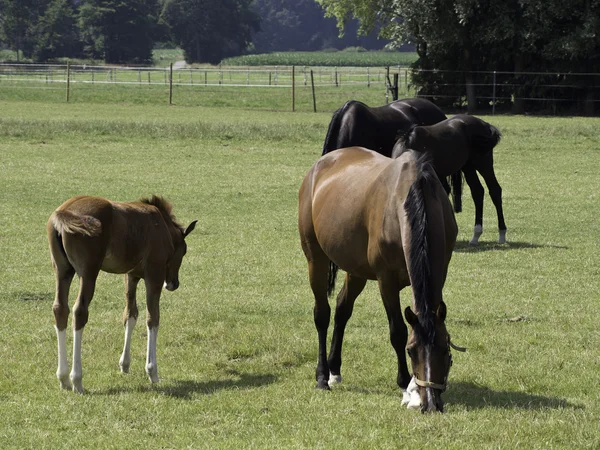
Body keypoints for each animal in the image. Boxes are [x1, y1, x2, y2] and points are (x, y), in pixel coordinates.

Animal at [47, 195, 197, 392]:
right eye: (184, 251)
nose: (173, 284)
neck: (161, 224)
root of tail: (64, 212)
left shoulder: (131, 275)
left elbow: (130, 314)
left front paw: (124, 364)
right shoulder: (154, 275)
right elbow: (153, 317)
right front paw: (152, 371)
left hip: (62, 270)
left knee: (60, 309)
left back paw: (63, 377)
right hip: (88, 273)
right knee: (79, 311)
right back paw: (76, 379)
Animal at [300, 149, 460, 414]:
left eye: (445, 347)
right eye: (411, 351)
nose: (430, 404)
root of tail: (320, 165)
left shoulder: (440, 272)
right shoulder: (386, 281)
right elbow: (397, 331)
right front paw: (407, 387)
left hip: (356, 270)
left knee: (342, 309)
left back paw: (334, 369)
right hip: (316, 259)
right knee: (322, 314)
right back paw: (322, 376)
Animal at [394, 114, 506, 244]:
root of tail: (485, 125)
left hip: (483, 164)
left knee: (495, 190)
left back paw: (502, 234)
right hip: (468, 167)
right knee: (477, 191)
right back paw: (476, 235)